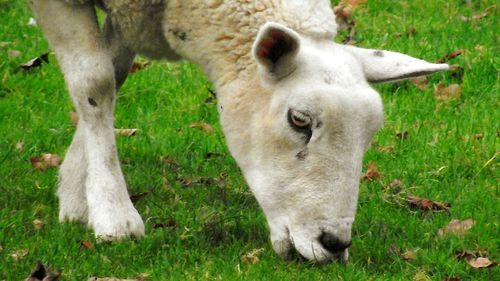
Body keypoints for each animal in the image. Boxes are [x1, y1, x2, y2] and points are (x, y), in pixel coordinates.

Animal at [29, 0, 448, 262]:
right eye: (298, 120)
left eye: (370, 134)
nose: (334, 244)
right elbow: (96, 82)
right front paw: (113, 213)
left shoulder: (130, 14)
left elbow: (113, 76)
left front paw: (75, 196)